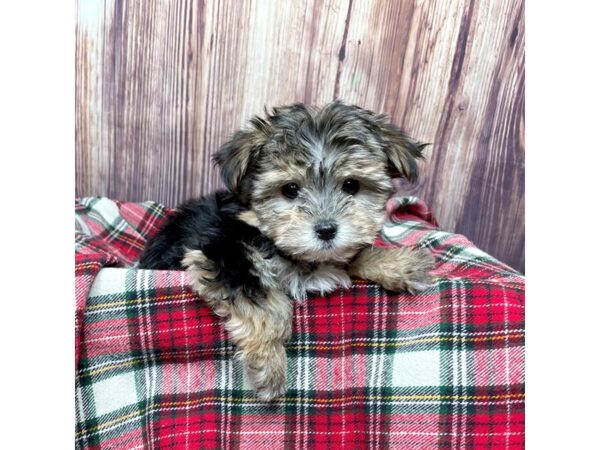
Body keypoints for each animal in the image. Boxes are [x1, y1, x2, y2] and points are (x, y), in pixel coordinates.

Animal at [138, 102, 434, 400]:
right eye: (290, 189)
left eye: (351, 185)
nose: (326, 230)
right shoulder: (224, 254)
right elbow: (265, 302)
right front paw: (269, 363)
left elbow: (350, 256)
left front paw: (398, 263)